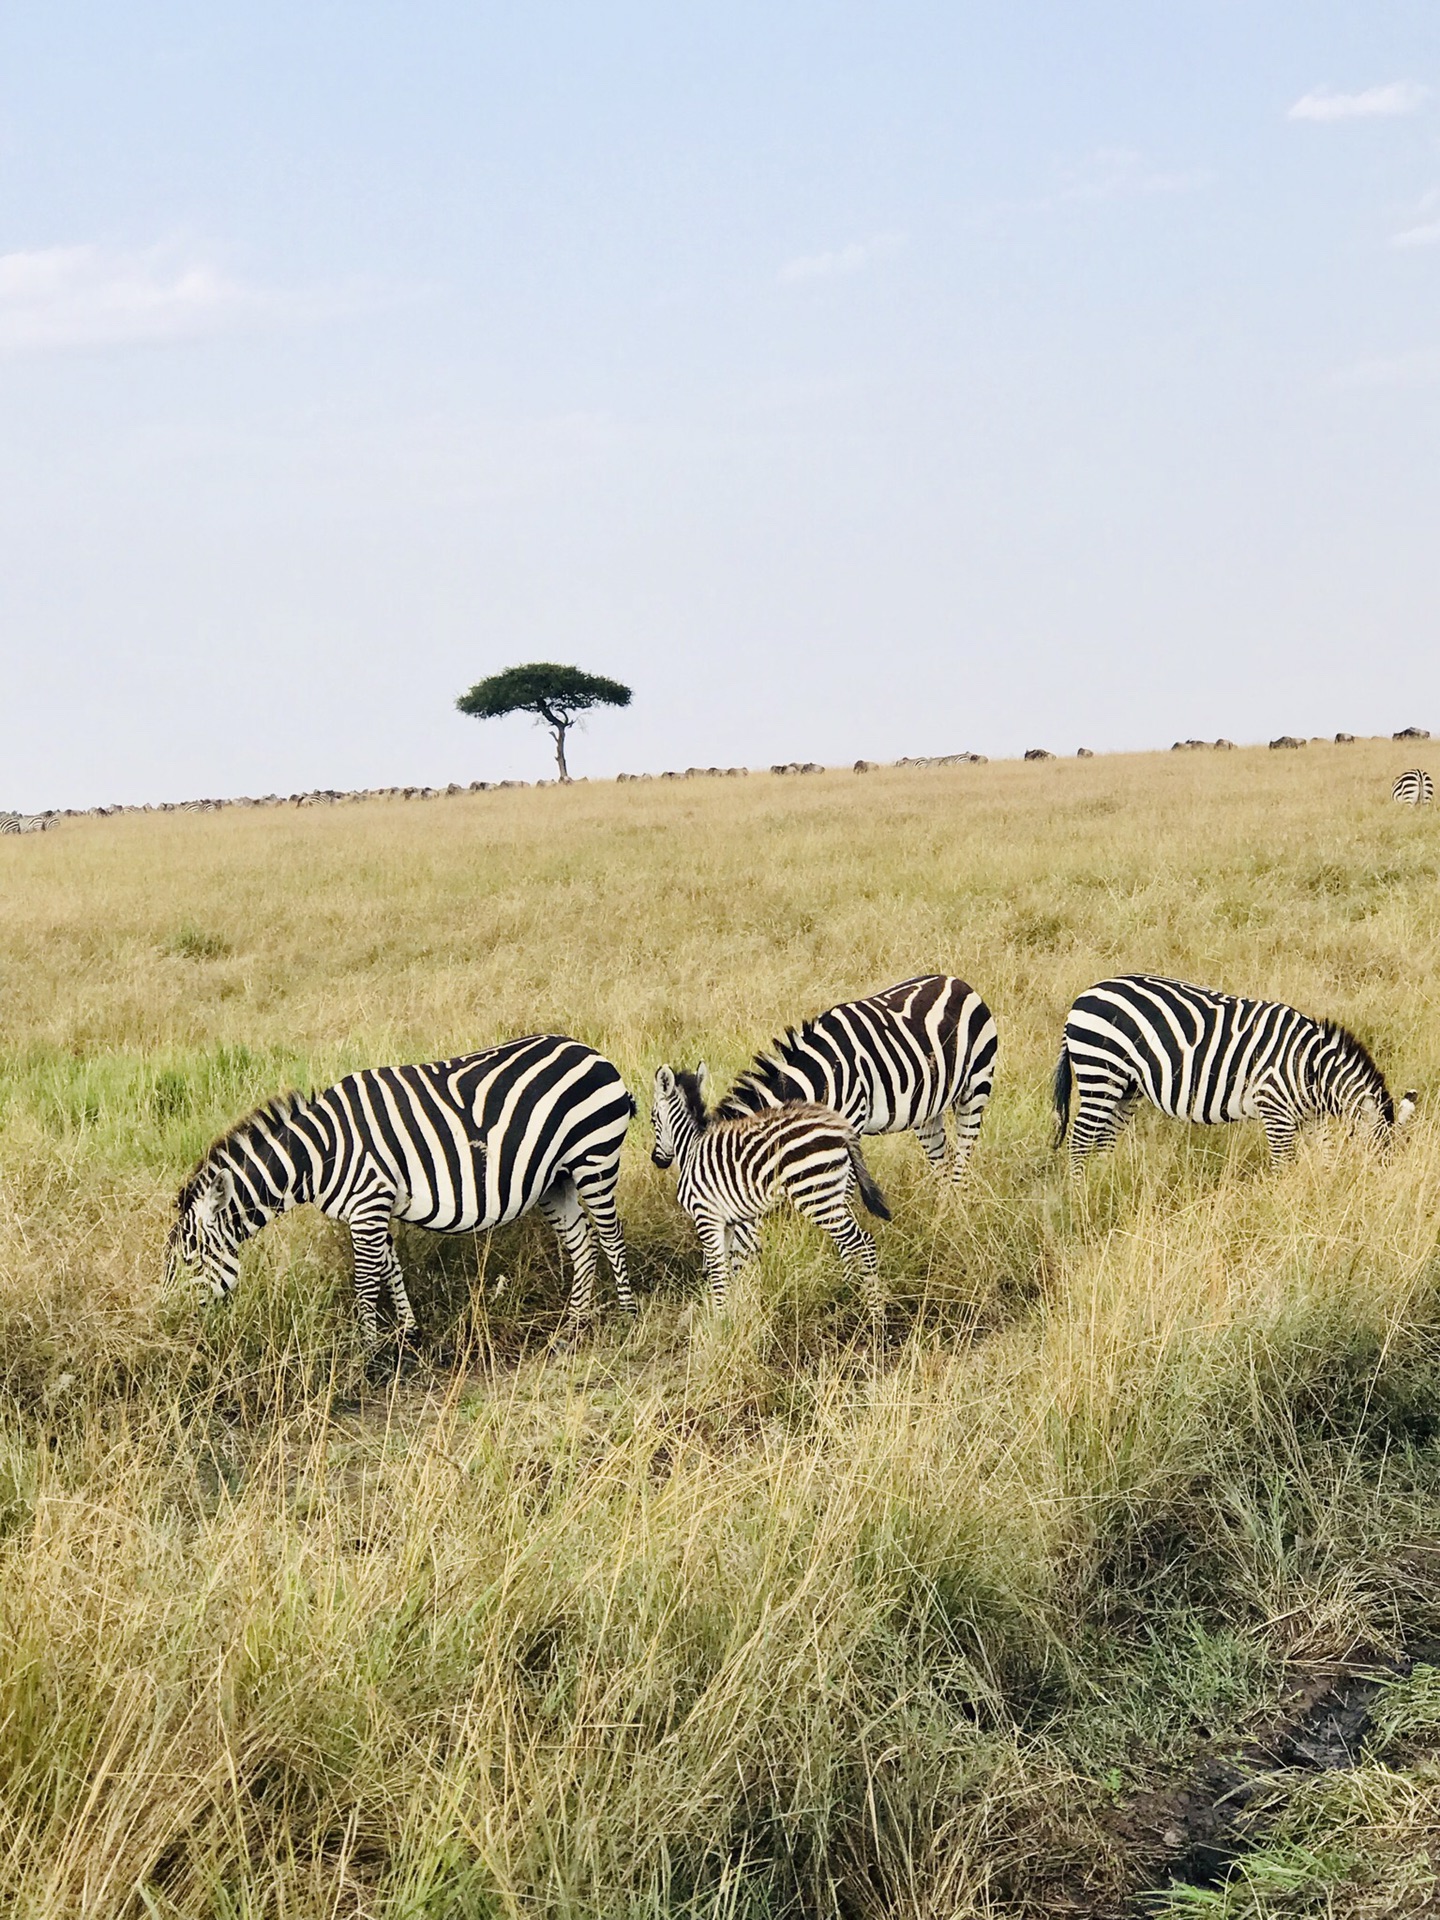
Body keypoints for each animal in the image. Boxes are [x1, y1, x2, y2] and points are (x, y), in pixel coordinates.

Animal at [168, 1036, 637, 1336]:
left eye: (190, 1261)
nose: (172, 1327)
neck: (320, 1154)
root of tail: (592, 1053)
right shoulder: (373, 1209)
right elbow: (390, 1268)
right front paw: (409, 1333)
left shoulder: (369, 1204)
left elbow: (366, 1281)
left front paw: (368, 1351)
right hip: (556, 1179)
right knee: (582, 1243)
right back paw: (575, 1322)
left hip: (593, 1158)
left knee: (611, 1237)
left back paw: (628, 1315)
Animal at [652, 1067, 890, 1320]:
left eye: (653, 1118)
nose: (657, 1160)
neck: (690, 1148)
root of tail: (841, 1128)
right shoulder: (727, 1222)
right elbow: (726, 1268)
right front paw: (727, 1315)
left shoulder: (706, 1216)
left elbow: (717, 1271)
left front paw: (719, 1318)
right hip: (835, 1193)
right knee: (861, 1242)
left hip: (816, 1196)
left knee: (861, 1243)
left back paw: (874, 1315)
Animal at [718, 975, 998, 1182]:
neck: (817, 1078)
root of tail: (956, 981)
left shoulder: (848, 1126)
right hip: (927, 1108)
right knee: (942, 1162)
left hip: (975, 1088)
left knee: (962, 1156)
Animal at [1052, 975, 1413, 1167]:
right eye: (1380, 1160)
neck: (1312, 1070)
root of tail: (1082, 997)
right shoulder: (1275, 1110)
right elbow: (1284, 1164)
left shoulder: (1312, 1118)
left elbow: (1322, 1156)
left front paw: (1317, 1189)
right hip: (1100, 1071)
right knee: (1080, 1139)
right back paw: (1082, 1193)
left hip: (1127, 1087)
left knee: (1103, 1138)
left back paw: (1105, 1180)